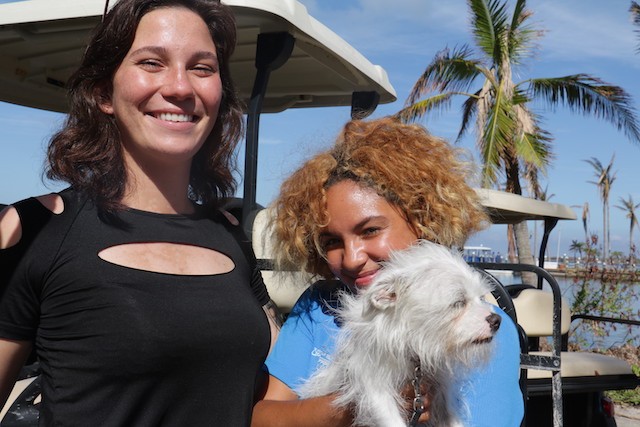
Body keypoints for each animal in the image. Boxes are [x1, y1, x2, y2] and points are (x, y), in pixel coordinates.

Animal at [298, 240, 501, 427]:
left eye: (481, 298)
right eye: (458, 303)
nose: (497, 320)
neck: (413, 348)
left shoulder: (442, 388)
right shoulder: (374, 388)